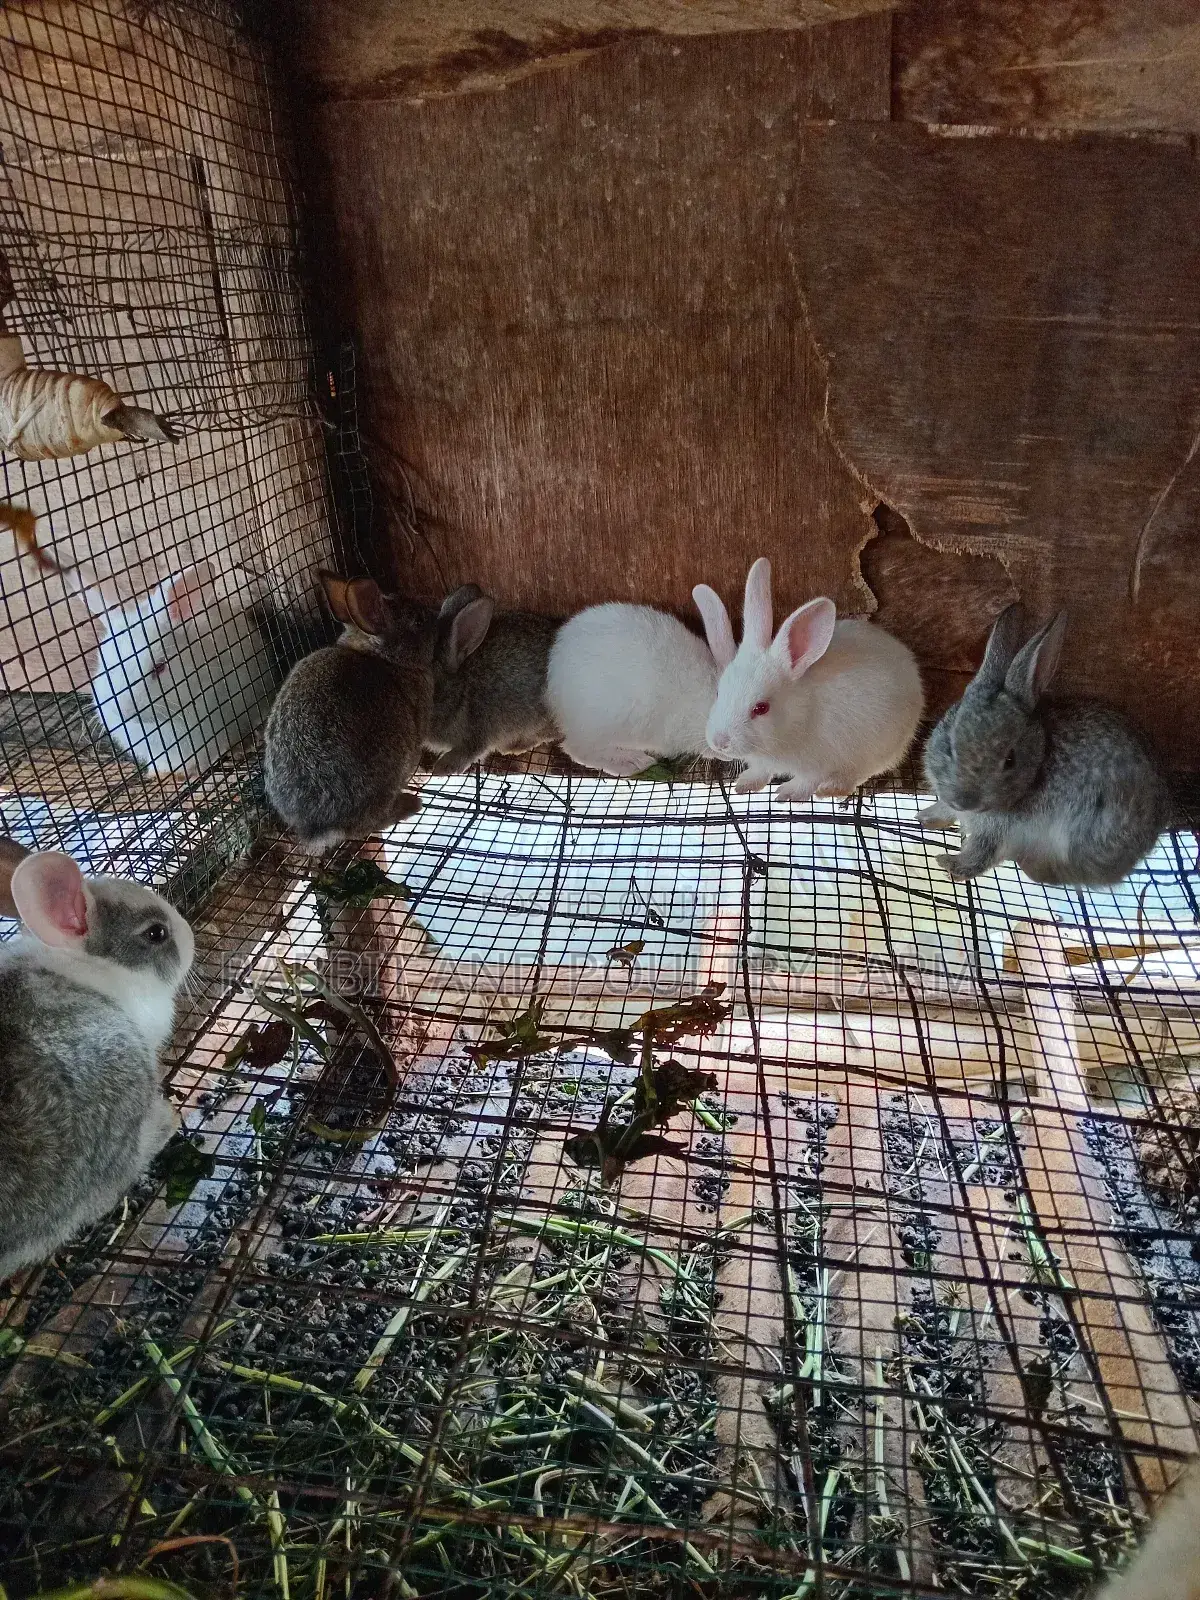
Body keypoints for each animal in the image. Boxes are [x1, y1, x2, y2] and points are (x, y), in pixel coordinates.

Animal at [692, 556, 924, 801]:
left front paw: (788, 794)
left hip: (875, 749)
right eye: (719, 692)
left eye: (761, 708)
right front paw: (745, 784)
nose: (719, 742)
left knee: (858, 774)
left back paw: (831, 789)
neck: (797, 718)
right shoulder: (764, 762)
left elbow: (807, 781)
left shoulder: (819, 764)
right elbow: (761, 770)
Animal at [921, 604, 1170, 885]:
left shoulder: (998, 832)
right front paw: (925, 817)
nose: (965, 801)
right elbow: (945, 810)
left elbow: (979, 856)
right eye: (950, 746)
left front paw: (948, 863)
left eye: (1010, 760)